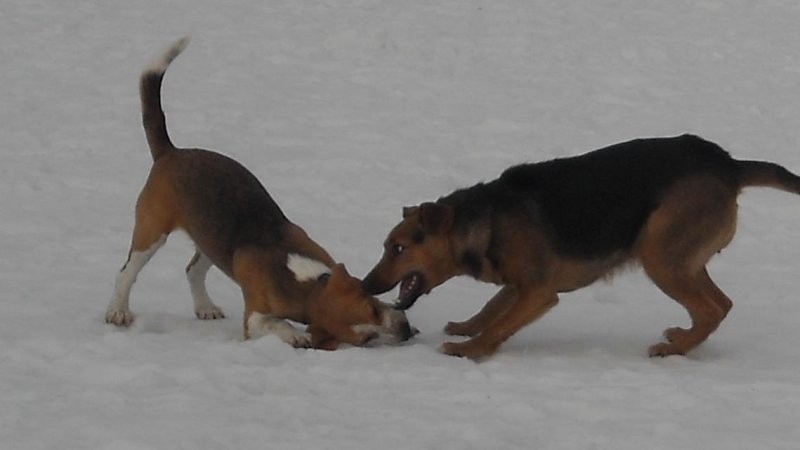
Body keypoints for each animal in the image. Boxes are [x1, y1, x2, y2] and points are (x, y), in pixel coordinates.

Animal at [105, 37, 412, 348]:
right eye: (367, 338)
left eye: (374, 307)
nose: (406, 330)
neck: (306, 282)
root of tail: (171, 152)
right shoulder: (253, 319)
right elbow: (273, 323)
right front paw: (295, 335)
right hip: (151, 232)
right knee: (126, 273)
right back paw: (118, 311)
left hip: (209, 241)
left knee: (192, 270)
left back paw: (205, 307)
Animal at [364, 134, 800, 358]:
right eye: (386, 245)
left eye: (398, 248)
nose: (366, 285)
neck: (485, 219)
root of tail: (729, 164)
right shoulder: (522, 285)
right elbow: (491, 309)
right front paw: (467, 328)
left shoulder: (539, 293)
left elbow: (500, 325)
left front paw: (469, 349)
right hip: (680, 259)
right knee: (720, 304)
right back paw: (682, 338)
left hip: (660, 256)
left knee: (712, 308)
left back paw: (673, 349)